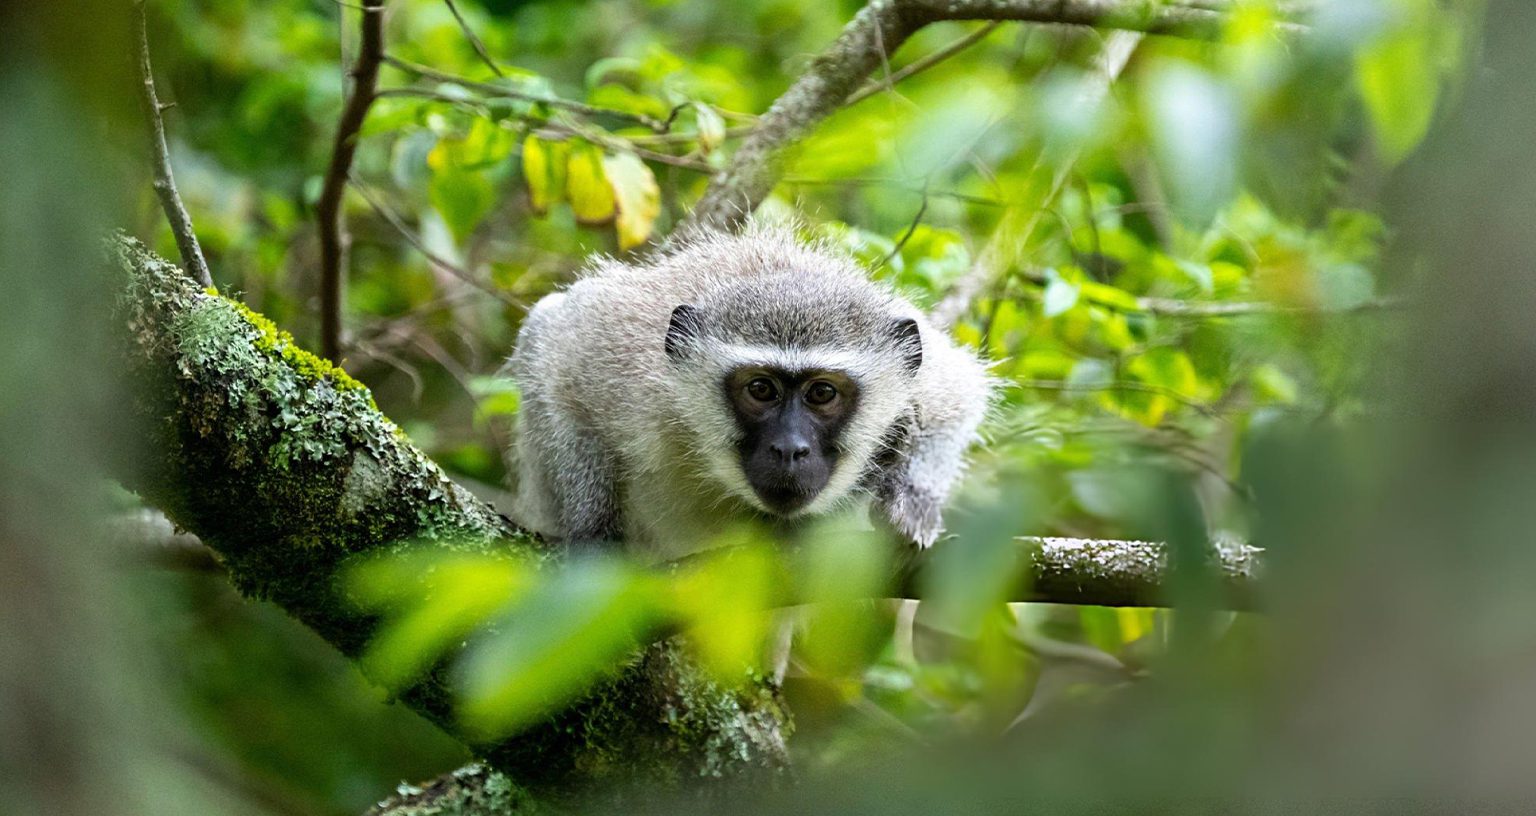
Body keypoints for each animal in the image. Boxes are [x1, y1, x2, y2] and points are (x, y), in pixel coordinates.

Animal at [507, 226, 992, 561]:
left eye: (822, 393)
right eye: (761, 389)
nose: (790, 449)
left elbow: (957, 397)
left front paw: (911, 504)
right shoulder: (625, 367)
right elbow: (557, 356)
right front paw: (593, 534)